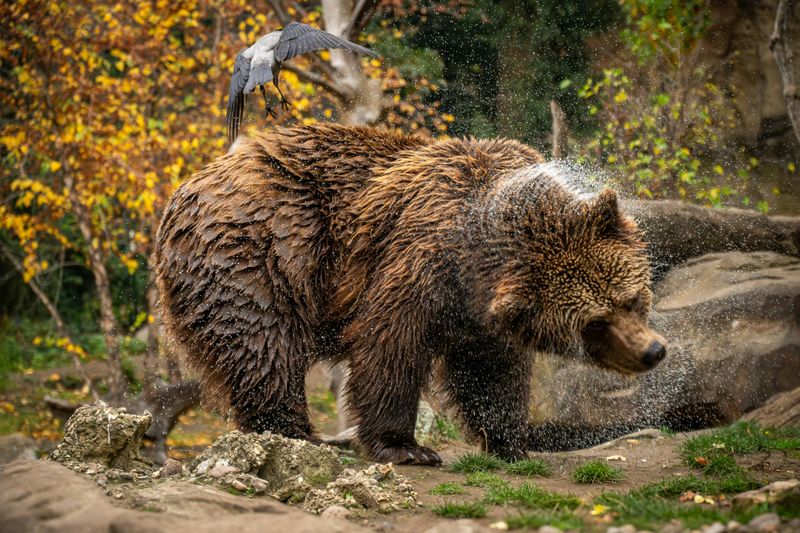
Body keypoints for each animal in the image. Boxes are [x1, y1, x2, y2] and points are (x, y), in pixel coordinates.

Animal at [154, 123, 666, 465]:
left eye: (632, 299)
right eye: (594, 322)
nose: (653, 351)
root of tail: (187, 186)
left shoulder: (481, 308)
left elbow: (488, 368)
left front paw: (510, 440)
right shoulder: (418, 258)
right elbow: (390, 343)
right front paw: (406, 447)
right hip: (260, 251)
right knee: (262, 344)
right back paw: (298, 434)